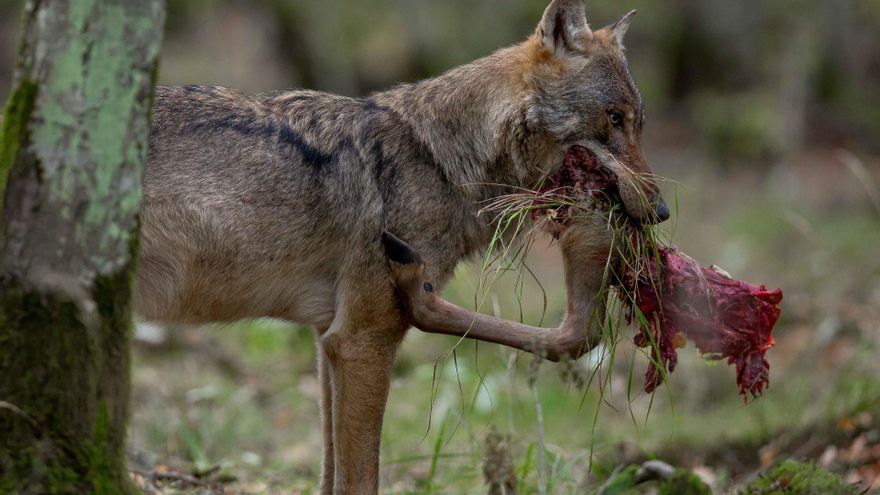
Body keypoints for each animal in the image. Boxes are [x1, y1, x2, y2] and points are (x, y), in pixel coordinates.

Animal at [138, 1, 668, 493]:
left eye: (639, 123)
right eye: (614, 119)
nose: (662, 212)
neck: (441, 162)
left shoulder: (328, 338)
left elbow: (331, 474)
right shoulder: (361, 340)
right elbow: (361, 479)